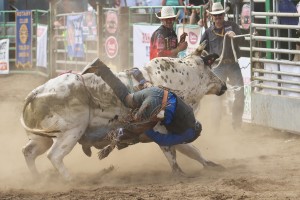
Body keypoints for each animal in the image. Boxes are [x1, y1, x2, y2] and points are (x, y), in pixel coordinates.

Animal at [21, 46, 226, 180]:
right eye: (209, 67)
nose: (224, 85)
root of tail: (37, 91)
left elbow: (192, 151)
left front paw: (212, 165)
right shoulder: (162, 129)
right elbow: (173, 153)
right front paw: (180, 174)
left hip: (42, 137)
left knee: (28, 152)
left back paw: (38, 178)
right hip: (71, 132)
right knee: (54, 156)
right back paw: (71, 179)